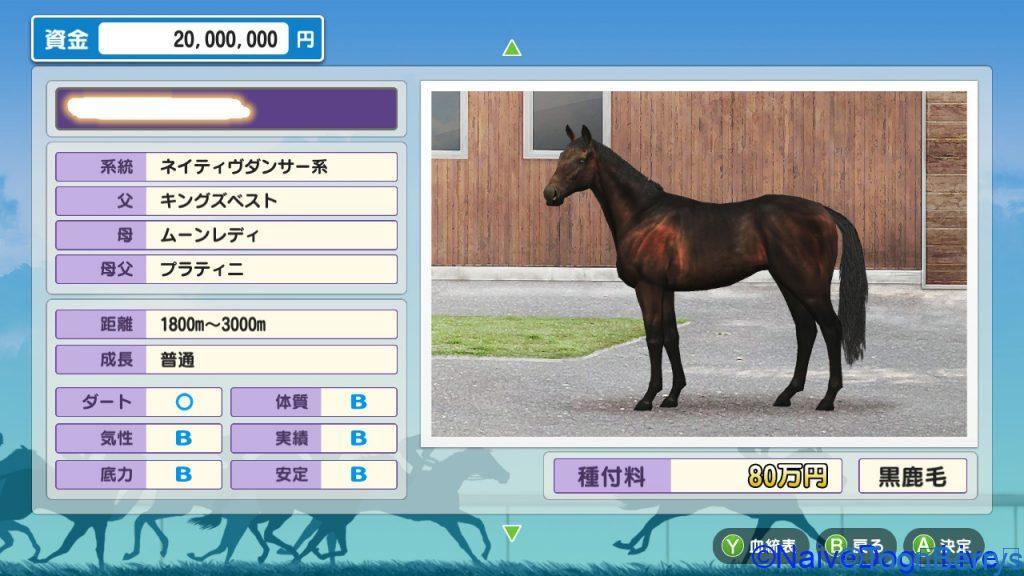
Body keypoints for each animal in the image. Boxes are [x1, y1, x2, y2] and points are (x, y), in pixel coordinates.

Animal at [543, 125, 867, 412]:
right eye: (560, 157)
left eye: (581, 159)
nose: (550, 194)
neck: (643, 214)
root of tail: (824, 211)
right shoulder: (666, 290)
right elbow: (671, 337)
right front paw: (672, 396)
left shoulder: (649, 287)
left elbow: (654, 338)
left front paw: (648, 398)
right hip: (788, 283)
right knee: (805, 329)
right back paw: (787, 394)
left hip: (809, 287)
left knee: (831, 328)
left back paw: (827, 399)